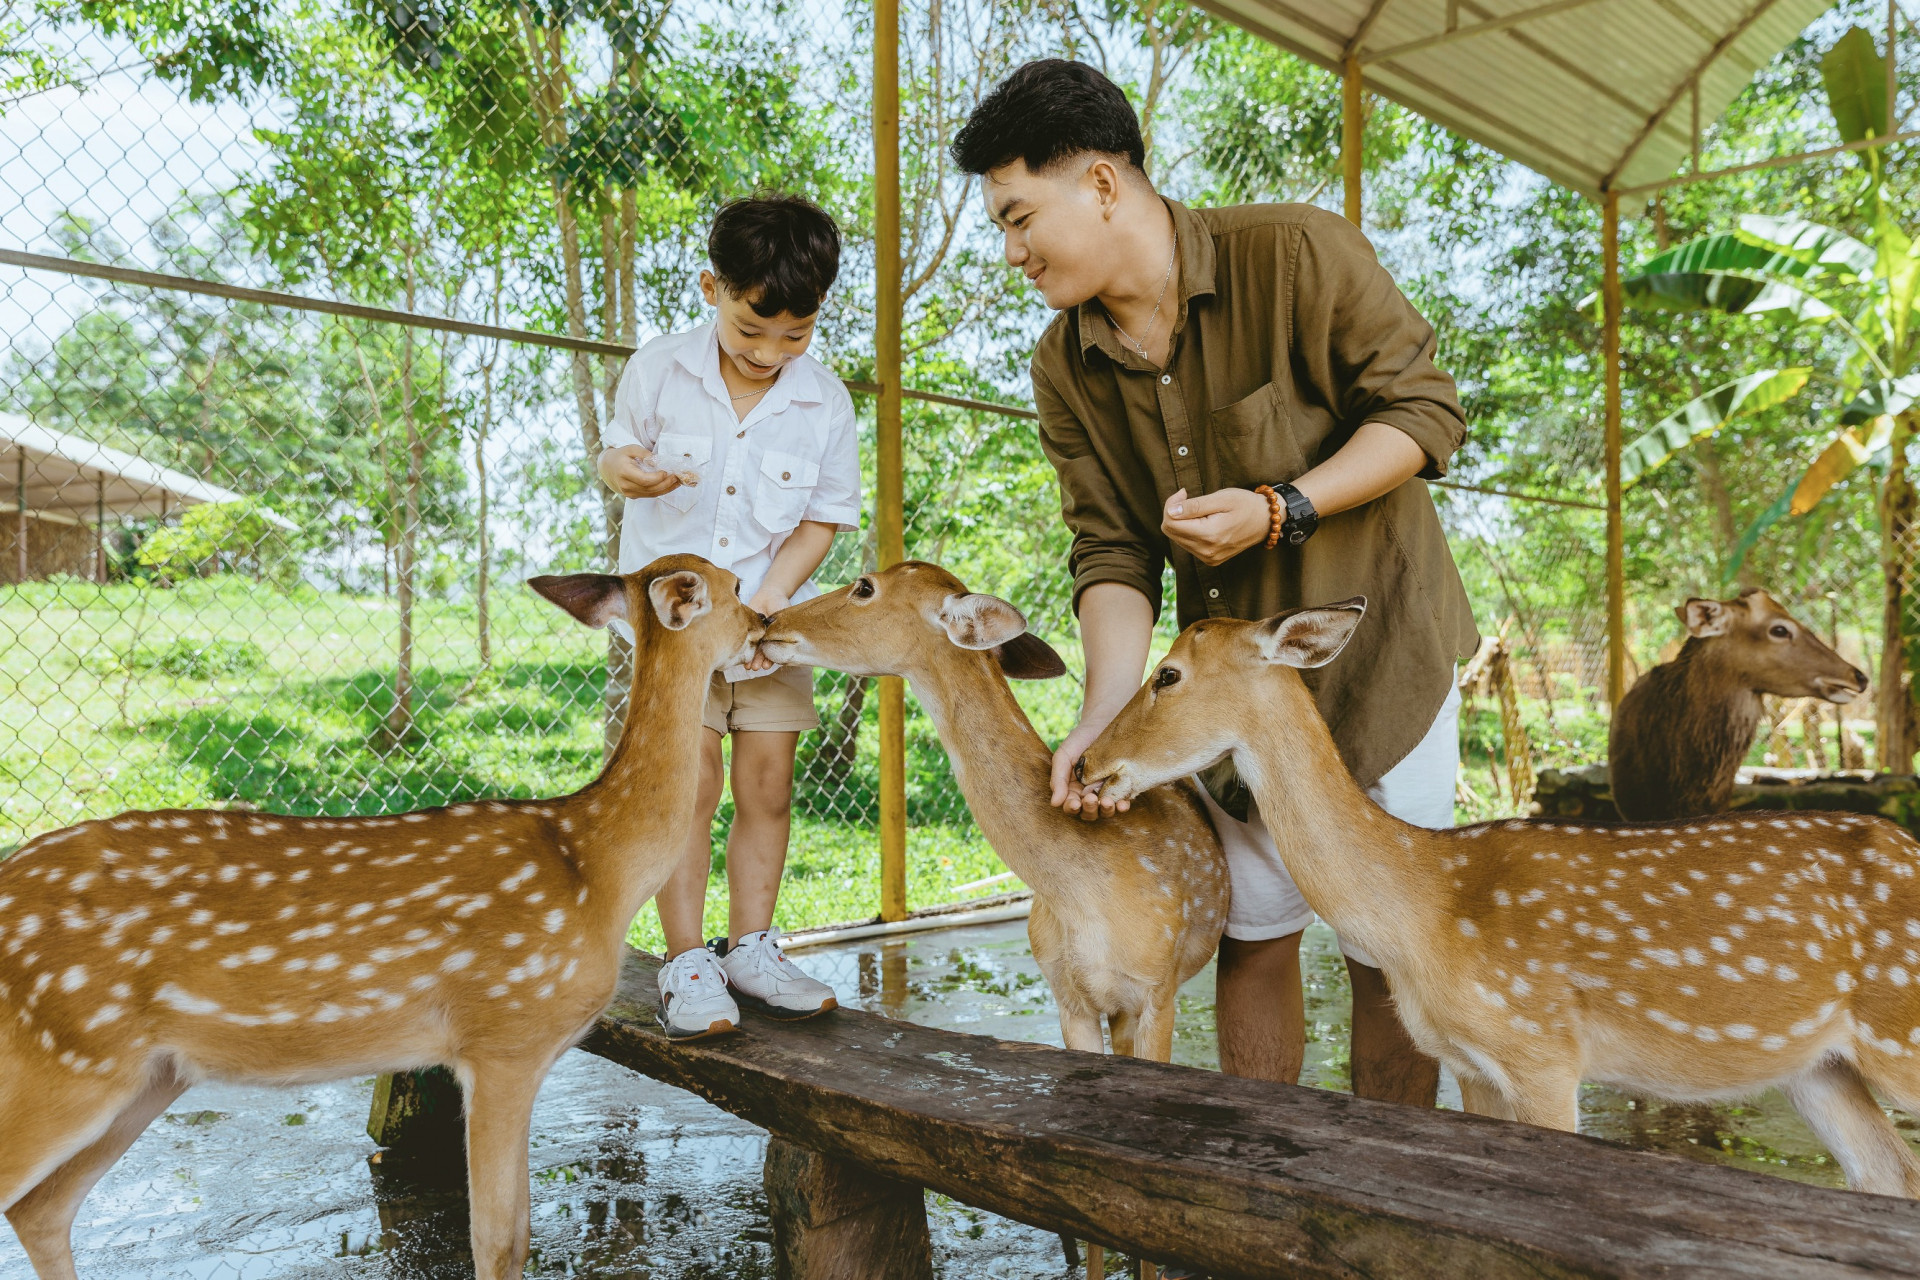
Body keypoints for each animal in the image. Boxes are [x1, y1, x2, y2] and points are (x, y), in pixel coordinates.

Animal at [0, 556, 764, 1280]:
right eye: (735, 585)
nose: (763, 623)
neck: (595, 866)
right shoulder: (503, 1037)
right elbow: (499, 1241)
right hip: (61, 1061)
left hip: (150, 1075)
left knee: (43, 1209)